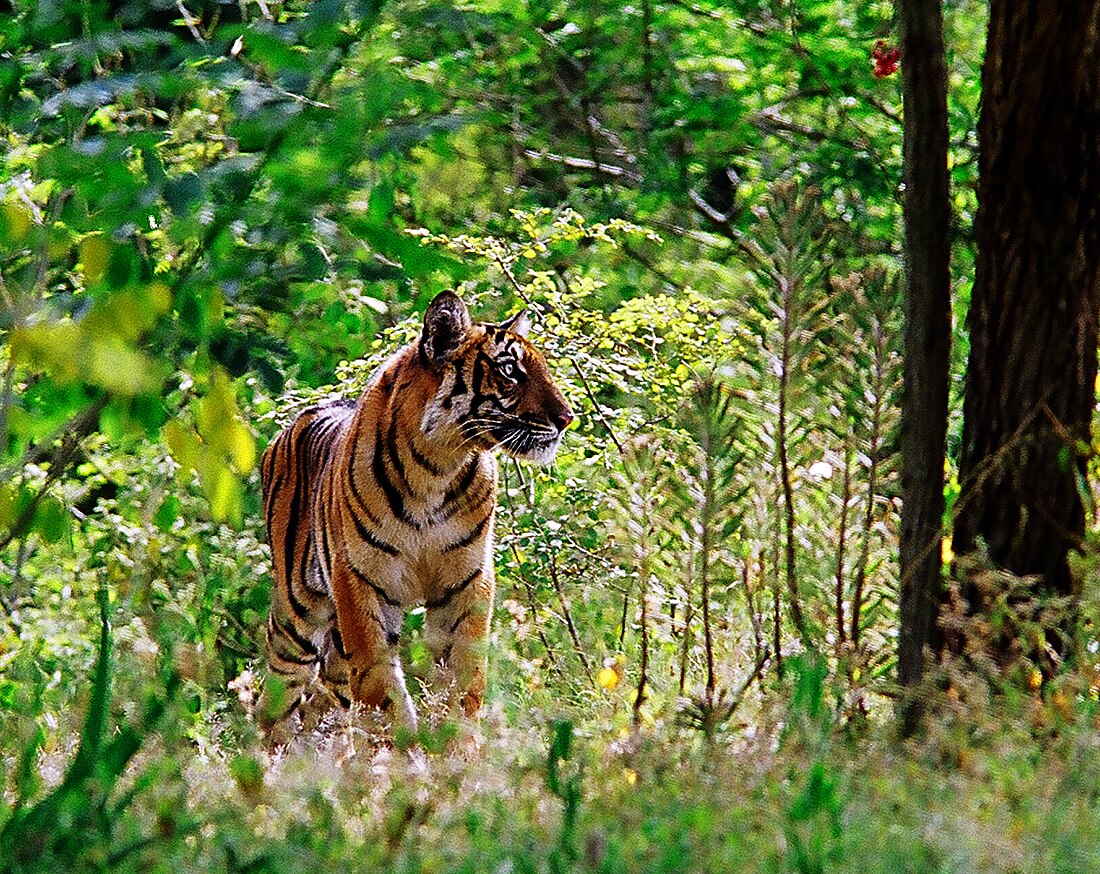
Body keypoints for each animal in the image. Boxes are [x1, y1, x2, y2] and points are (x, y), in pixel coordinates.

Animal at [258, 290, 576, 734]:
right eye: (509, 369)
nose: (567, 418)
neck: (437, 465)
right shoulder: (360, 583)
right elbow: (382, 690)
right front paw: (403, 747)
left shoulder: (467, 580)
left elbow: (462, 684)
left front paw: (455, 746)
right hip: (297, 617)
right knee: (277, 698)